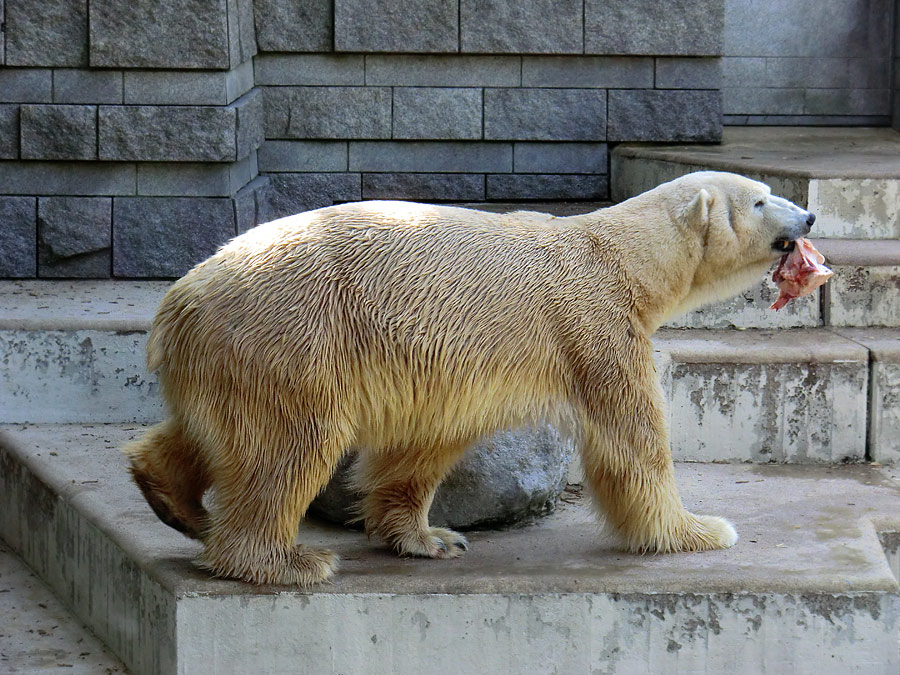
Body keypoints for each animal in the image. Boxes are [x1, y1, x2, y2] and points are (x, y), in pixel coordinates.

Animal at [123, 173, 820, 588]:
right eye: (762, 200)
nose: (809, 217)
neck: (621, 257)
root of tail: (179, 302)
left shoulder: (445, 369)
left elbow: (423, 442)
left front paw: (430, 537)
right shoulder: (595, 323)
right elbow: (629, 441)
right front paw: (700, 531)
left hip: (235, 355)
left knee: (213, 430)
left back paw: (173, 499)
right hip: (292, 337)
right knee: (289, 445)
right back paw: (287, 561)